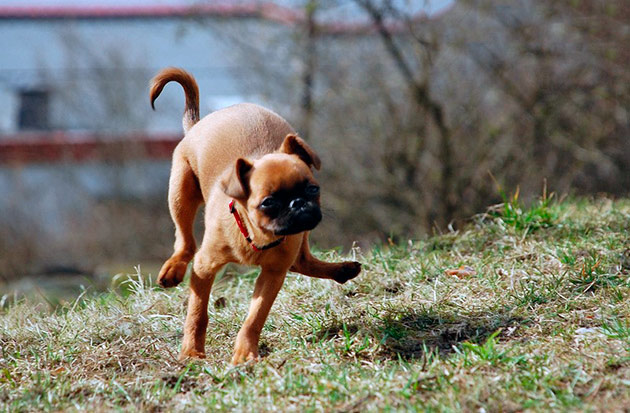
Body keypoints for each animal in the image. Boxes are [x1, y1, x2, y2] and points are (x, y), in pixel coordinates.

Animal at [150, 67, 362, 364]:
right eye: (268, 202)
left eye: (313, 189)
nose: (298, 203)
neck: (258, 237)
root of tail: (198, 123)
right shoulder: (204, 268)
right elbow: (197, 313)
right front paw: (192, 351)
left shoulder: (272, 274)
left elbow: (254, 318)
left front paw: (244, 353)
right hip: (180, 193)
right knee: (184, 241)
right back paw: (173, 268)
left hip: (301, 235)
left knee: (302, 262)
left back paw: (342, 270)